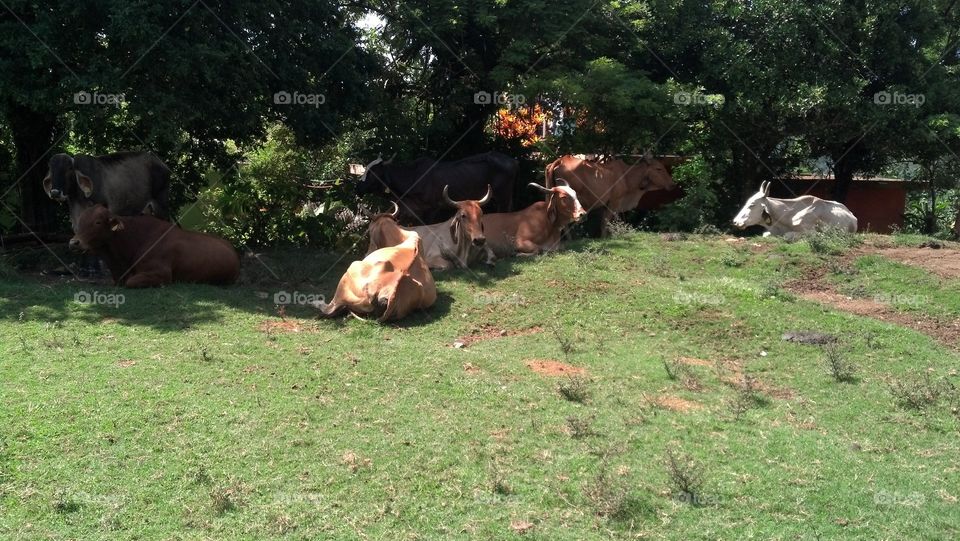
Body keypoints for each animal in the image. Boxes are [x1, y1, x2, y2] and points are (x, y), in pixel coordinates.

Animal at [42, 152, 171, 276]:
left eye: (69, 168)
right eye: (51, 169)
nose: (55, 192)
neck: (78, 196)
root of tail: (160, 163)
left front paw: (95, 271)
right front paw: (84, 270)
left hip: (161, 204)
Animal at [544, 152, 680, 236]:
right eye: (658, 168)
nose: (672, 184)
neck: (627, 176)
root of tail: (559, 160)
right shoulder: (614, 202)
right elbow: (605, 223)